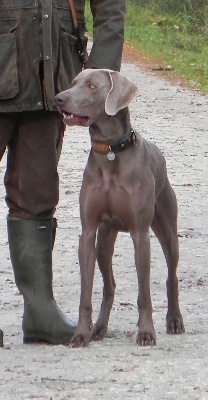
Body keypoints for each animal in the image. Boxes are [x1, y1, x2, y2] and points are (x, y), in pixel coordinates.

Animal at [55, 69, 185, 346]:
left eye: (92, 86)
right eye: (73, 83)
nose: (59, 98)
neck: (110, 151)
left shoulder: (140, 233)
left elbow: (144, 292)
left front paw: (146, 332)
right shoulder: (89, 232)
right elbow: (86, 294)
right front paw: (80, 334)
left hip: (168, 230)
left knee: (172, 276)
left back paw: (174, 320)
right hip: (104, 241)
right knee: (109, 285)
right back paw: (99, 328)